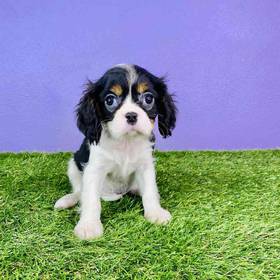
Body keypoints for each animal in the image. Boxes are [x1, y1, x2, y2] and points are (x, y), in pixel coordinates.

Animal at [54, 64, 176, 240]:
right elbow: (90, 199)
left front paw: (155, 212)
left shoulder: (145, 166)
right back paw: (68, 199)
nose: (131, 115)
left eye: (148, 99)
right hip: (73, 164)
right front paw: (89, 225)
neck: (125, 141)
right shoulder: (94, 169)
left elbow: (150, 191)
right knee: (79, 191)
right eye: (110, 100)